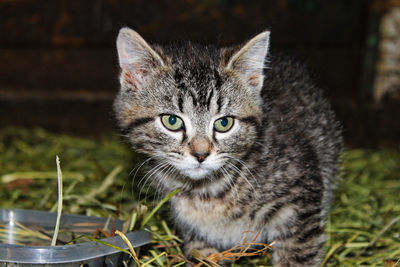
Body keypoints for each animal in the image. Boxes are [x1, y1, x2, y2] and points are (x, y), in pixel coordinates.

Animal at [114, 27, 342, 267]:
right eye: (172, 121)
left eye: (224, 123)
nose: (201, 154)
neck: (206, 193)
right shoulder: (195, 233)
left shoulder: (300, 202)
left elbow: (298, 256)